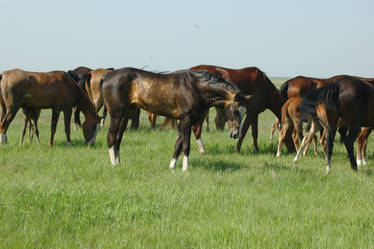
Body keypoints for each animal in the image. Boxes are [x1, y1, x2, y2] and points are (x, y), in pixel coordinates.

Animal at [101, 67, 250, 170]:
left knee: (118, 139)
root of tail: (107, 76)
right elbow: (186, 145)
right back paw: (113, 164)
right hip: (116, 114)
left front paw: (172, 167)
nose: (235, 134)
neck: (195, 87)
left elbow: (178, 144)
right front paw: (185, 169)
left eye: (244, 112)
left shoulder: (184, 121)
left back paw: (118, 163)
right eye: (235, 109)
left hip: (125, 116)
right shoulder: (186, 119)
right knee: (110, 137)